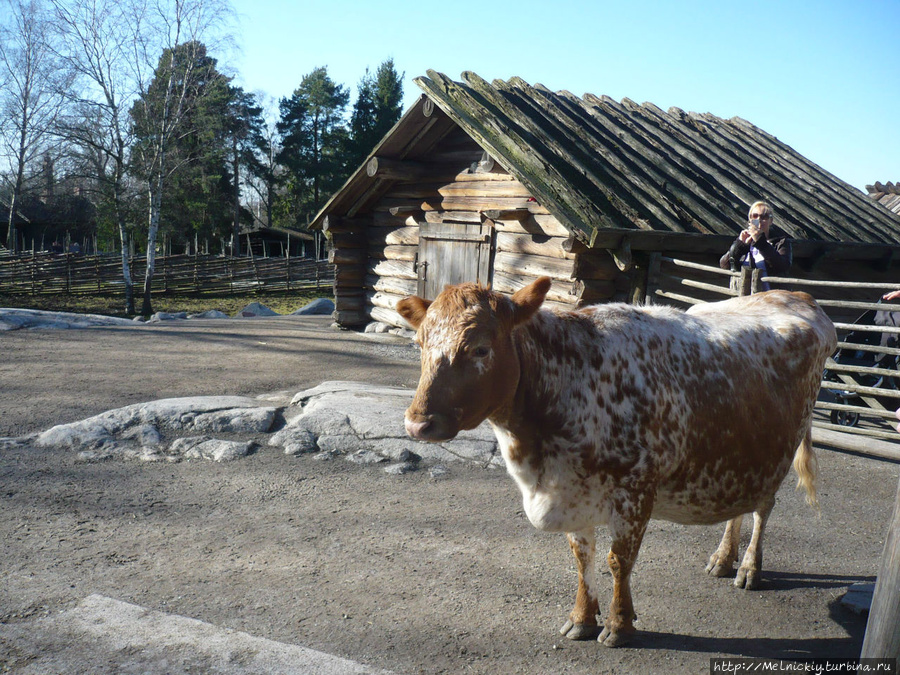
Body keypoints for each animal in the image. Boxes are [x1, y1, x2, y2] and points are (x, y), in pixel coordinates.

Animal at [400, 278, 836, 648]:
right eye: (419, 342)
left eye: (480, 349)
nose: (418, 423)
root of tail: (795, 294)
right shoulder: (573, 490)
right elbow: (582, 557)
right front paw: (581, 617)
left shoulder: (636, 491)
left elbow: (618, 560)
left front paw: (619, 624)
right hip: (743, 453)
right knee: (741, 506)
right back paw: (723, 558)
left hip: (781, 447)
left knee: (764, 507)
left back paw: (748, 568)